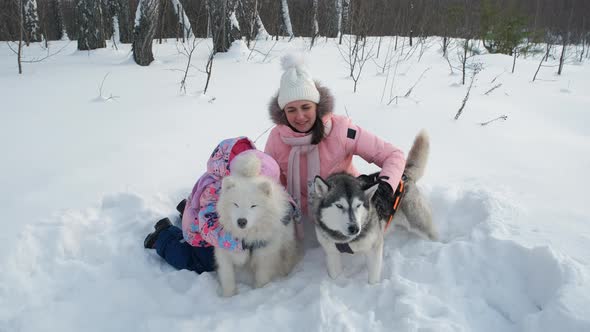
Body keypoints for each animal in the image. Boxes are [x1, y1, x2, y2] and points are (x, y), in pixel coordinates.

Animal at [215, 152, 300, 296]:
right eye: (235, 204)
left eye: (253, 205)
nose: (242, 221)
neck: (247, 238)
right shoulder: (224, 251)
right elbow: (227, 276)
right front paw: (229, 296)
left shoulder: (265, 252)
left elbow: (262, 276)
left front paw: (259, 291)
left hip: (287, 243)